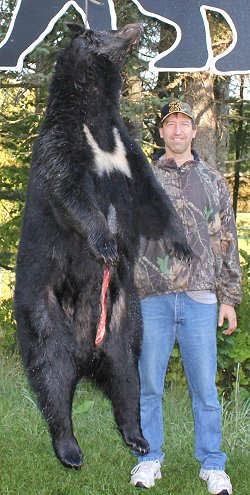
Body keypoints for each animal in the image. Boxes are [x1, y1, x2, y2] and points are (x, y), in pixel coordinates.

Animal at [14, 24, 189, 472]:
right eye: (105, 31)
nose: (135, 27)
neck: (94, 121)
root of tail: (85, 352)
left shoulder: (127, 153)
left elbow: (154, 199)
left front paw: (182, 245)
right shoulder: (60, 143)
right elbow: (69, 191)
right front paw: (106, 243)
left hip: (125, 320)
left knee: (128, 376)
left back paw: (137, 437)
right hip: (44, 311)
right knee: (51, 375)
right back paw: (69, 449)